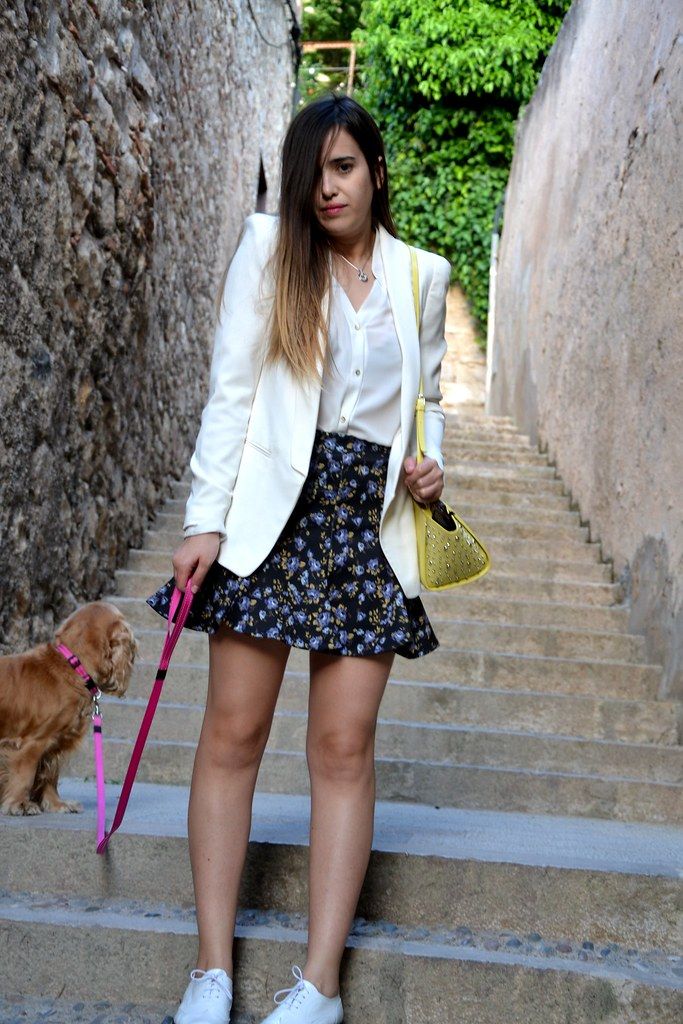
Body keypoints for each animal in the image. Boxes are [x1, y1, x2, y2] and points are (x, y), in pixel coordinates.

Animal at [0, 601, 137, 815]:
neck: (72, 666)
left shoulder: (56, 743)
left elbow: (50, 777)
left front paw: (57, 804)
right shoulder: (34, 741)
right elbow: (25, 775)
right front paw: (20, 805)